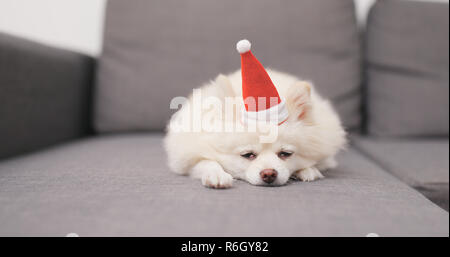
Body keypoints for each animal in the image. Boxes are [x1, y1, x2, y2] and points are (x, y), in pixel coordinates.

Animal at [163, 40, 346, 188]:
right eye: (248, 155)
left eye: (285, 154)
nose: (269, 173)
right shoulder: (188, 156)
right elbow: (206, 161)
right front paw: (216, 174)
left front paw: (308, 169)